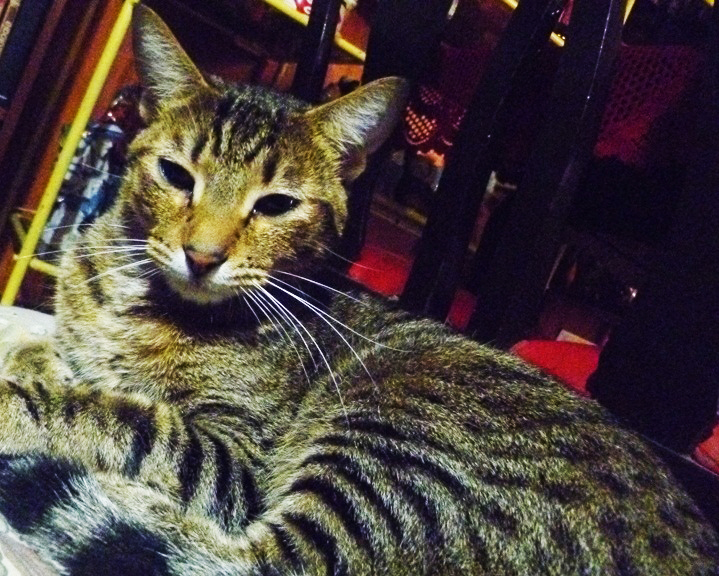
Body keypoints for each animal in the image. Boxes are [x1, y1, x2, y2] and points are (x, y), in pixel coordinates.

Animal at [0, 6, 716, 575]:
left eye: (277, 204)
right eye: (176, 174)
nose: (201, 256)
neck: (139, 299)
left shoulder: (232, 457)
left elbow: (108, 415)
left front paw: (29, 404)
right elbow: (62, 362)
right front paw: (42, 358)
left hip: (393, 449)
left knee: (249, 560)